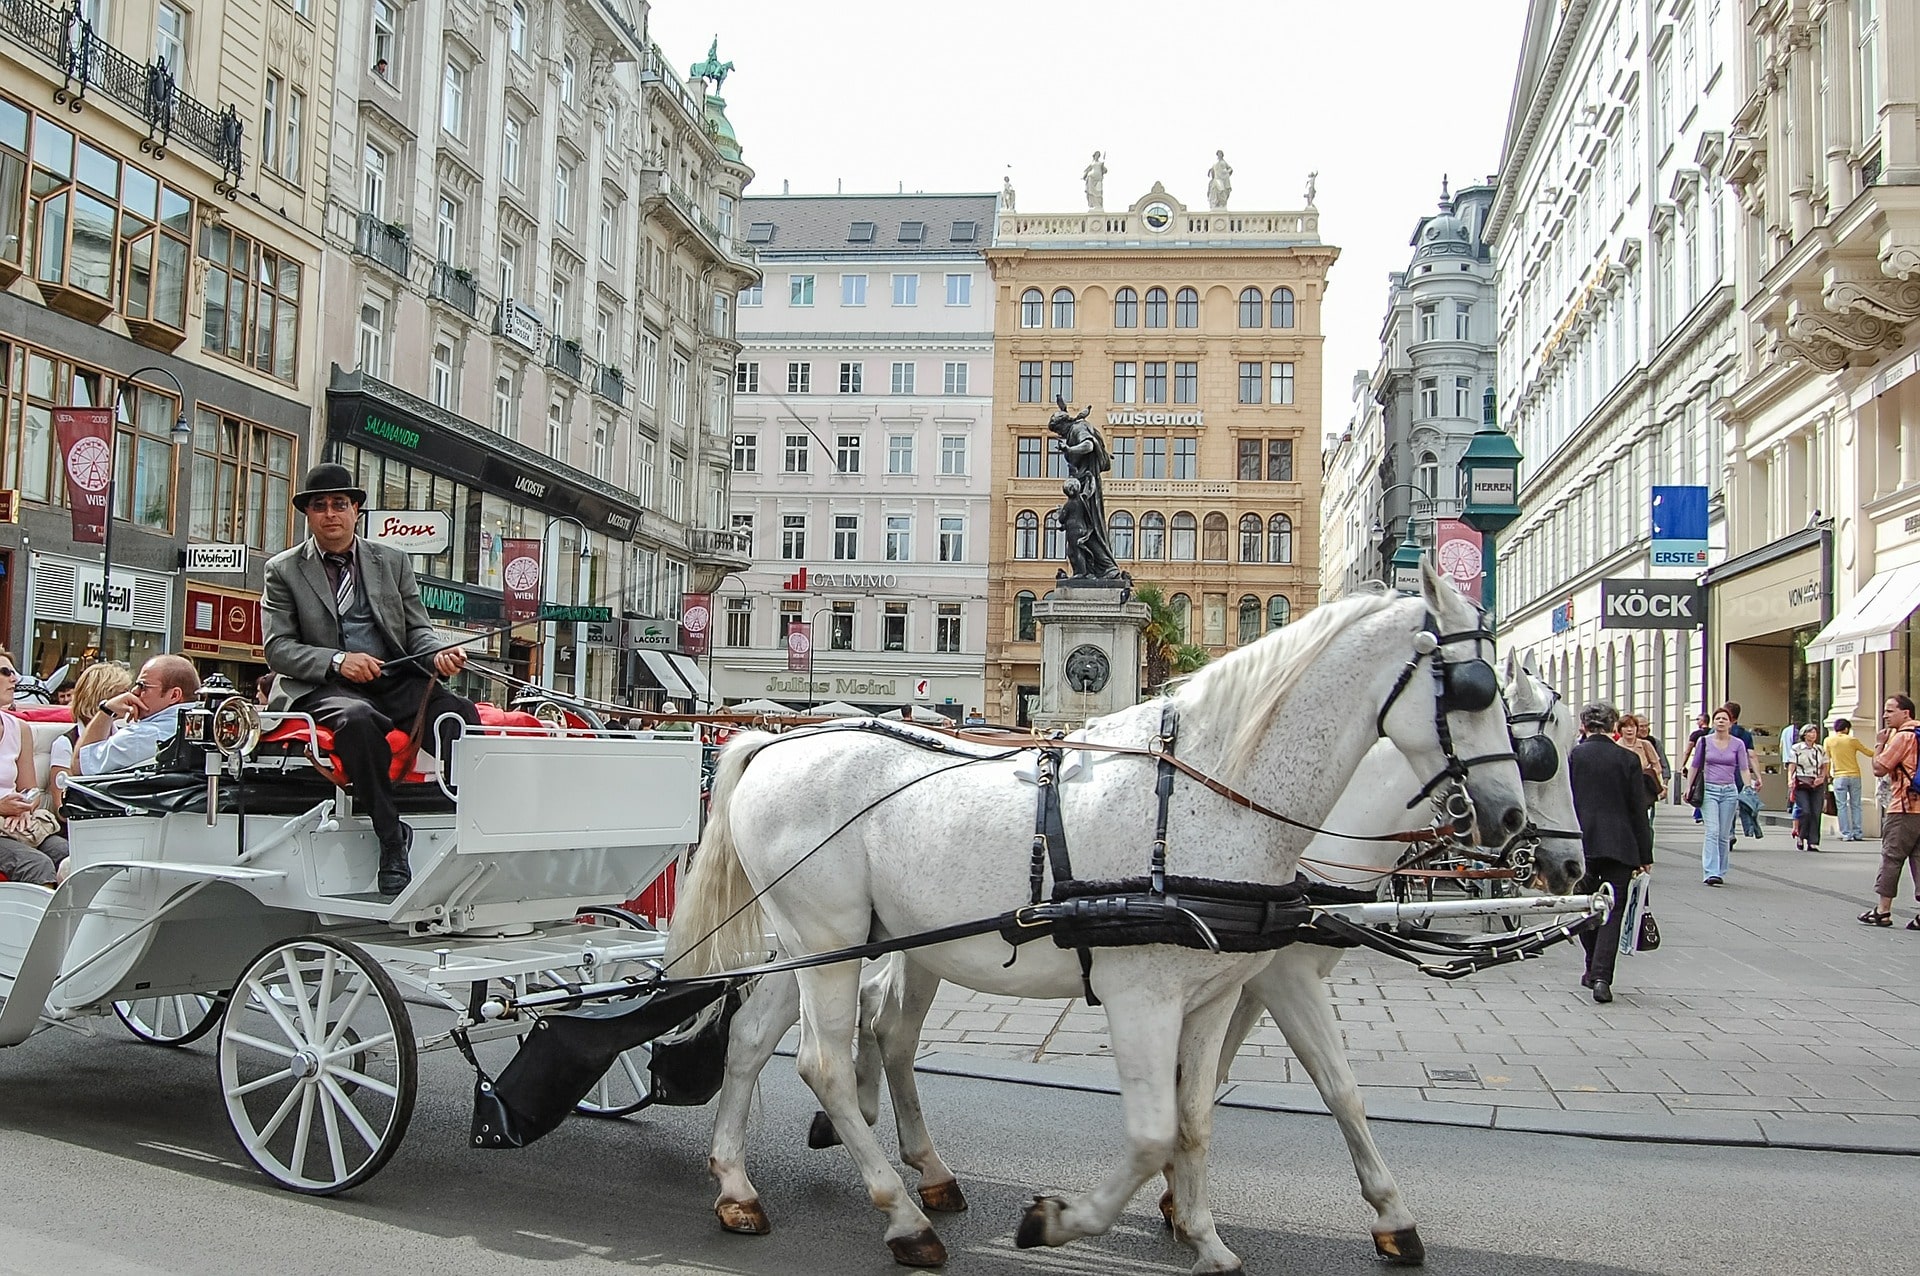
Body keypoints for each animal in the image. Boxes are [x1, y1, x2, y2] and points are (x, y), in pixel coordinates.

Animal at [668, 567, 1520, 1274]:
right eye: (1474, 689)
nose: (1509, 818)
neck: (1209, 793)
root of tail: (773, 745)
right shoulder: (1145, 997)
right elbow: (1151, 1133)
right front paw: (1059, 1220)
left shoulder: (1212, 997)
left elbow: (1195, 1117)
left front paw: (1205, 1237)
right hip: (832, 945)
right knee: (826, 1065)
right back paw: (906, 1219)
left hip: (818, 946)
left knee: (755, 1041)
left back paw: (738, 1188)